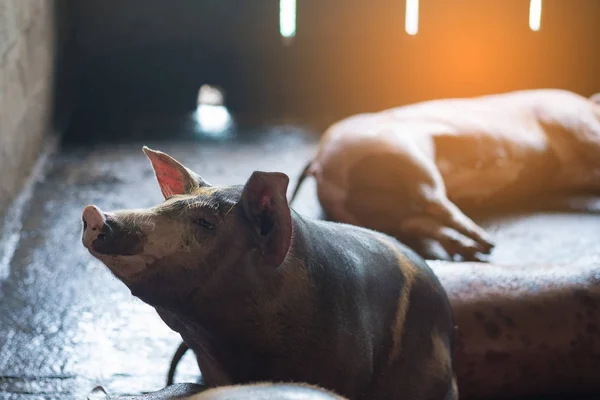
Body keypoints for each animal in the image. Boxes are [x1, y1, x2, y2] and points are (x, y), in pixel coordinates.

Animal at [288, 89, 600, 260]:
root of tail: (319, 160)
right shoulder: (573, 120)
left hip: (373, 209)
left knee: (420, 221)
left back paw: (471, 248)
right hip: (409, 156)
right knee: (433, 201)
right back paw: (485, 242)